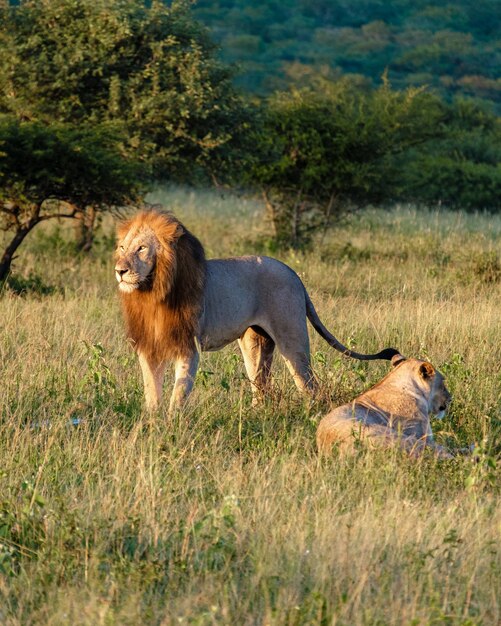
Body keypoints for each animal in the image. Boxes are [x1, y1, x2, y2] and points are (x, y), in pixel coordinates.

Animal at [114, 210, 398, 412]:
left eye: (141, 248)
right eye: (122, 248)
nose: (120, 270)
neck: (151, 292)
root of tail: (293, 273)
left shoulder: (188, 346)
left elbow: (179, 391)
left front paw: (173, 423)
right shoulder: (148, 346)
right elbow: (152, 390)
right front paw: (152, 422)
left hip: (292, 338)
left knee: (308, 384)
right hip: (254, 341)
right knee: (261, 385)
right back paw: (256, 415)